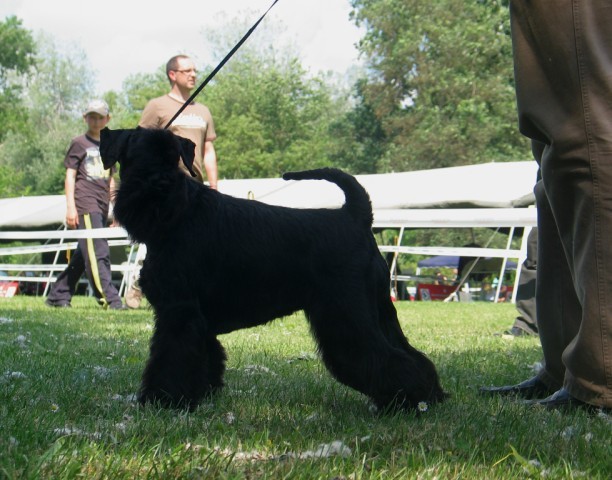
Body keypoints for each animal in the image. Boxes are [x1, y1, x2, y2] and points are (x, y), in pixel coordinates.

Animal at [100, 127, 444, 412]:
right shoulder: (197, 318)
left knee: (384, 357)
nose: (160, 186)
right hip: (378, 310)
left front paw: (162, 399)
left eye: (174, 158)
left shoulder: (179, 311)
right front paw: (202, 393)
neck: (177, 215)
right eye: (136, 157)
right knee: (408, 352)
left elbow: (170, 359)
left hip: (348, 312)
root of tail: (356, 215)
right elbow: (207, 356)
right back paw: (430, 395)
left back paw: (406, 400)